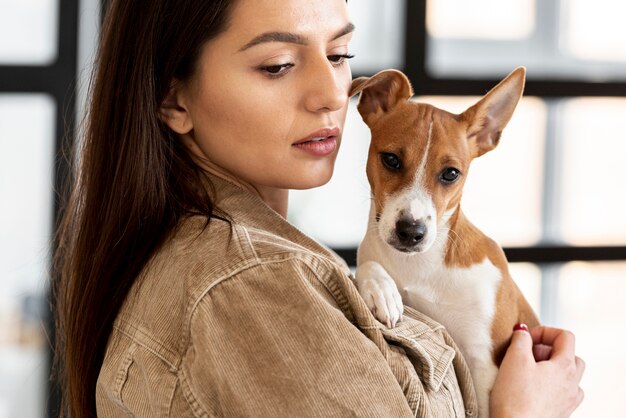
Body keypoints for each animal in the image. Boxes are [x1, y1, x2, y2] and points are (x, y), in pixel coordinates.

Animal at [352, 67, 536, 416]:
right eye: (391, 160)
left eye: (451, 174)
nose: (411, 231)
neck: (421, 265)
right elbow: (368, 265)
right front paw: (382, 291)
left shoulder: (484, 363)